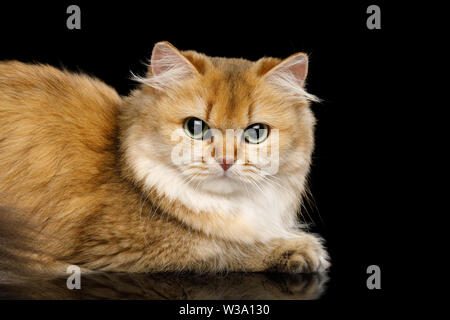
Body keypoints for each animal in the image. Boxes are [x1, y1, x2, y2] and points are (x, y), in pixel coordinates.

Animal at [0, 41, 330, 274]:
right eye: (195, 127)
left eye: (256, 133)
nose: (226, 160)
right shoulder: (127, 247)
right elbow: (221, 248)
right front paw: (300, 248)